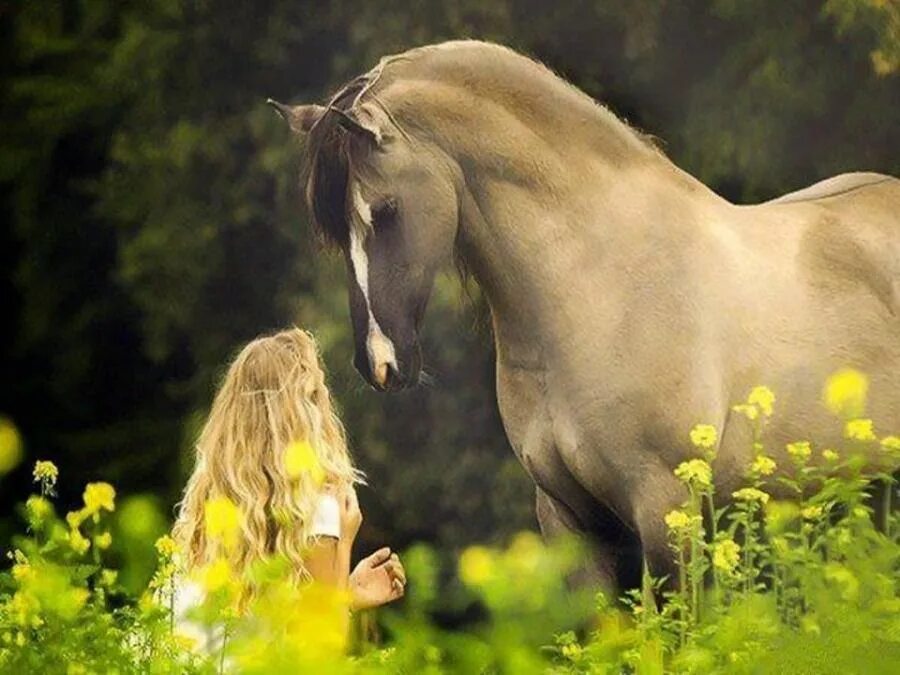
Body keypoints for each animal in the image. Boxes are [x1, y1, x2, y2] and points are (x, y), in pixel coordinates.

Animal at [270, 39, 900, 596]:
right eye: (334, 231)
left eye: (385, 210)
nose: (380, 363)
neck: (594, 284)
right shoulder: (570, 520)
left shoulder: (666, 509)